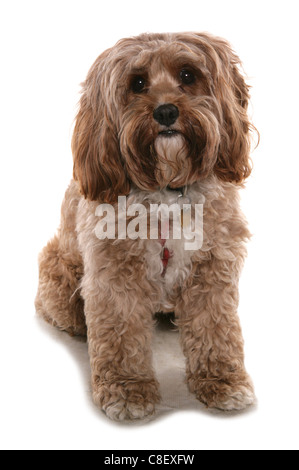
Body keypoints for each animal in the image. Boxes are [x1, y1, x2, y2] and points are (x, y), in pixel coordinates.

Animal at [36, 34, 258, 422]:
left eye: (187, 75)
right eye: (137, 83)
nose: (166, 112)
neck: (168, 189)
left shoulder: (212, 270)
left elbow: (216, 330)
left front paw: (223, 381)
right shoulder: (115, 277)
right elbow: (121, 336)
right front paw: (127, 390)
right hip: (59, 274)